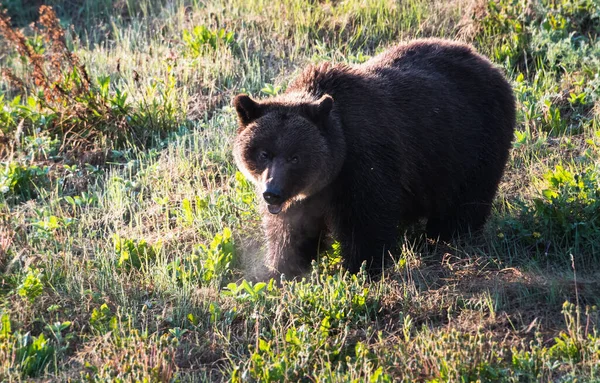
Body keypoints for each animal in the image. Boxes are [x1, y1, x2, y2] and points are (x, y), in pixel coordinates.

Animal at [233, 39, 516, 280]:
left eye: (295, 156)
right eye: (263, 153)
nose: (272, 193)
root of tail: (488, 62)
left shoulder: (365, 163)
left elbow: (367, 222)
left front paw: (358, 269)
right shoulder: (305, 195)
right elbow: (290, 231)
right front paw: (279, 269)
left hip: (474, 143)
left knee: (466, 201)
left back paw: (446, 237)